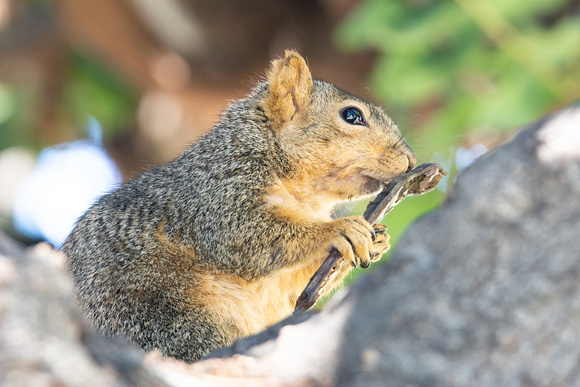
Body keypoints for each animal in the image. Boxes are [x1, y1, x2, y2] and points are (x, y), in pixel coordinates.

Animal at [63, 50, 416, 364]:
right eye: (352, 116)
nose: (411, 160)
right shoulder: (217, 193)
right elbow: (243, 238)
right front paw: (338, 229)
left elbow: (291, 287)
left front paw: (379, 238)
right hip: (166, 318)